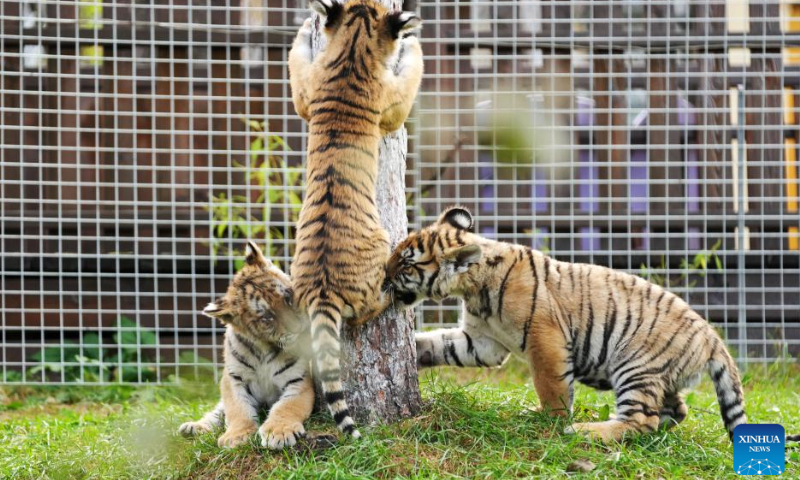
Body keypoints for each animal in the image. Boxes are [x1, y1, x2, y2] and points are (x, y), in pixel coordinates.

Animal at [178, 242, 314, 450]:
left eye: (288, 297)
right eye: (267, 317)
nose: (300, 328)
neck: (264, 349)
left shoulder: (298, 380)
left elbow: (286, 407)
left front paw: (279, 432)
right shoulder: (233, 378)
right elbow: (237, 409)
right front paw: (236, 436)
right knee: (217, 412)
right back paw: (193, 427)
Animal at [287, 0, 424, 437]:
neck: (351, 52)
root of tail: (322, 290)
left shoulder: (305, 95)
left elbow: (296, 63)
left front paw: (302, 31)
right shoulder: (392, 105)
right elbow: (411, 74)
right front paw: (413, 42)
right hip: (379, 253)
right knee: (370, 308)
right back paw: (394, 295)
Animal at [386, 206, 759, 443]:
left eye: (406, 262)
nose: (382, 276)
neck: (473, 288)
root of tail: (711, 336)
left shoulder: (544, 337)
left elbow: (551, 385)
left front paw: (548, 420)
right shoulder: (484, 342)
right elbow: (442, 345)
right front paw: (415, 348)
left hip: (635, 364)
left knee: (642, 421)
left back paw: (584, 431)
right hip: (658, 376)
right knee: (675, 411)